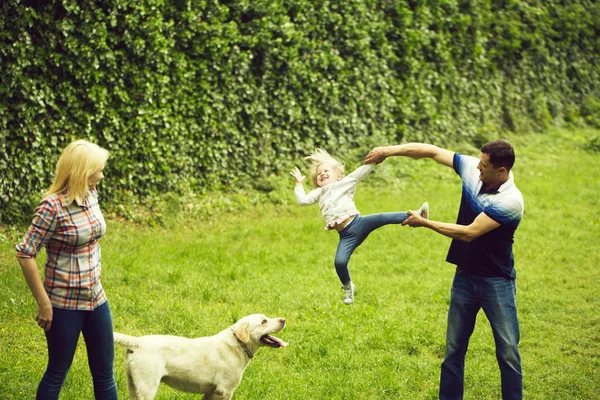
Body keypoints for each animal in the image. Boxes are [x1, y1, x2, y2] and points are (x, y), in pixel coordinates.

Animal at [115, 314, 288, 398]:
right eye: (264, 321)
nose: (284, 319)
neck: (238, 345)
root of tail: (138, 342)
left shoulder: (211, 392)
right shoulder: (224, 391)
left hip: (133, 385)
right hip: (147, 387)